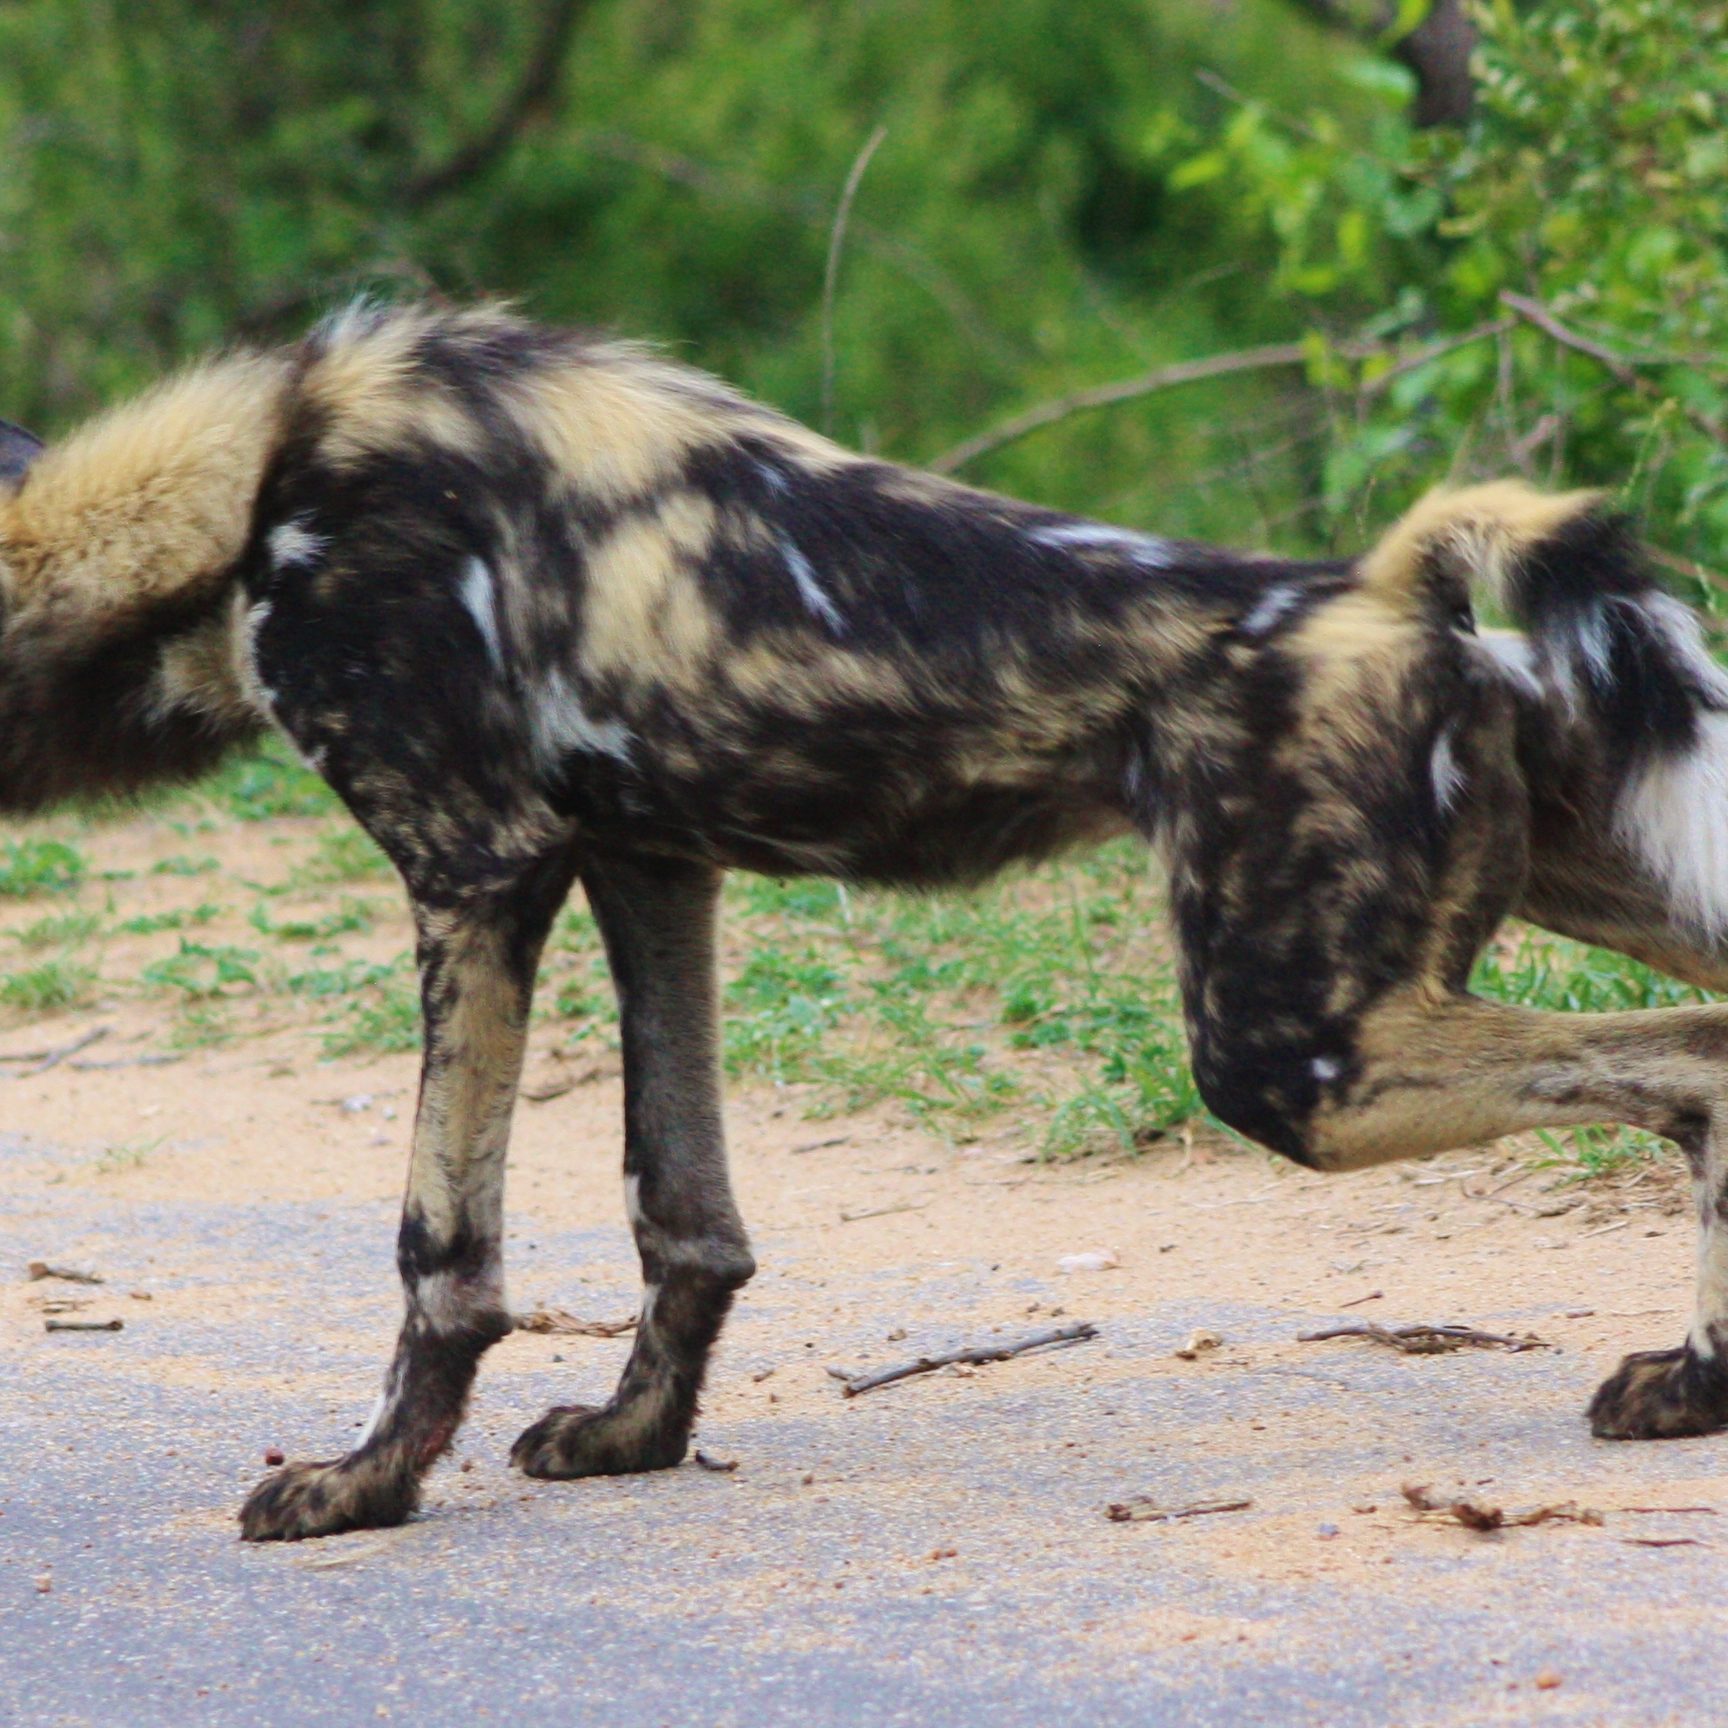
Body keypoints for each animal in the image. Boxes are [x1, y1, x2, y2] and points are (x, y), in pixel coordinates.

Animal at [3, 300, 1728, 1541]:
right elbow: (682, 1213)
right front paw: (636, 1437)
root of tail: (1389, 583)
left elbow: (443, 1255)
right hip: (1588, 893)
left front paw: (366, 1485)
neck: (257, 481)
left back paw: (1702, 1375)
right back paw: (1694, 1389)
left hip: (1292, 1057)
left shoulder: (476, 870)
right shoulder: (646, 865)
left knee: (1697, 1063)